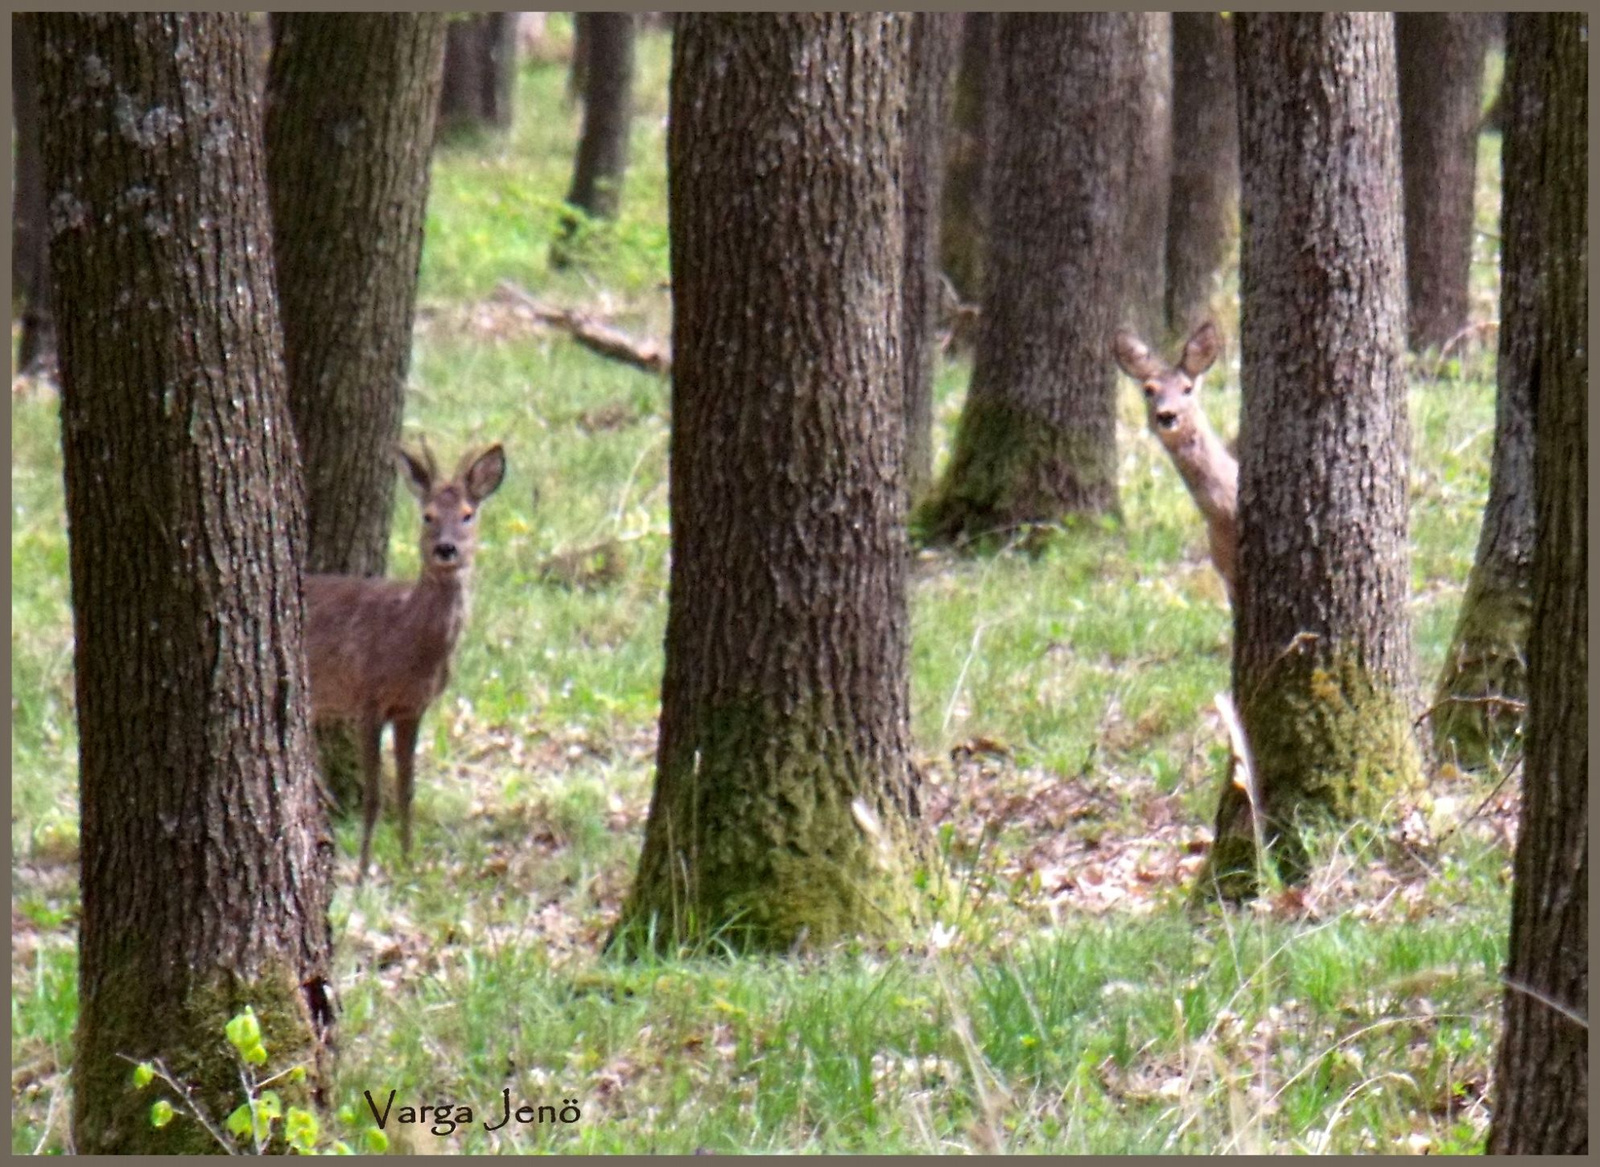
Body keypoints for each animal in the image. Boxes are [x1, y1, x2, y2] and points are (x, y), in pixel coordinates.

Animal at [304, 441, 505, 877]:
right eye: (427, 515)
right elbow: (375, 795)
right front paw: (363, 873)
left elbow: (406, 789)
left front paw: (410, 864)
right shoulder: (367, 697)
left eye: (468, 513)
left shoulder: (413, 707)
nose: (446, 548)